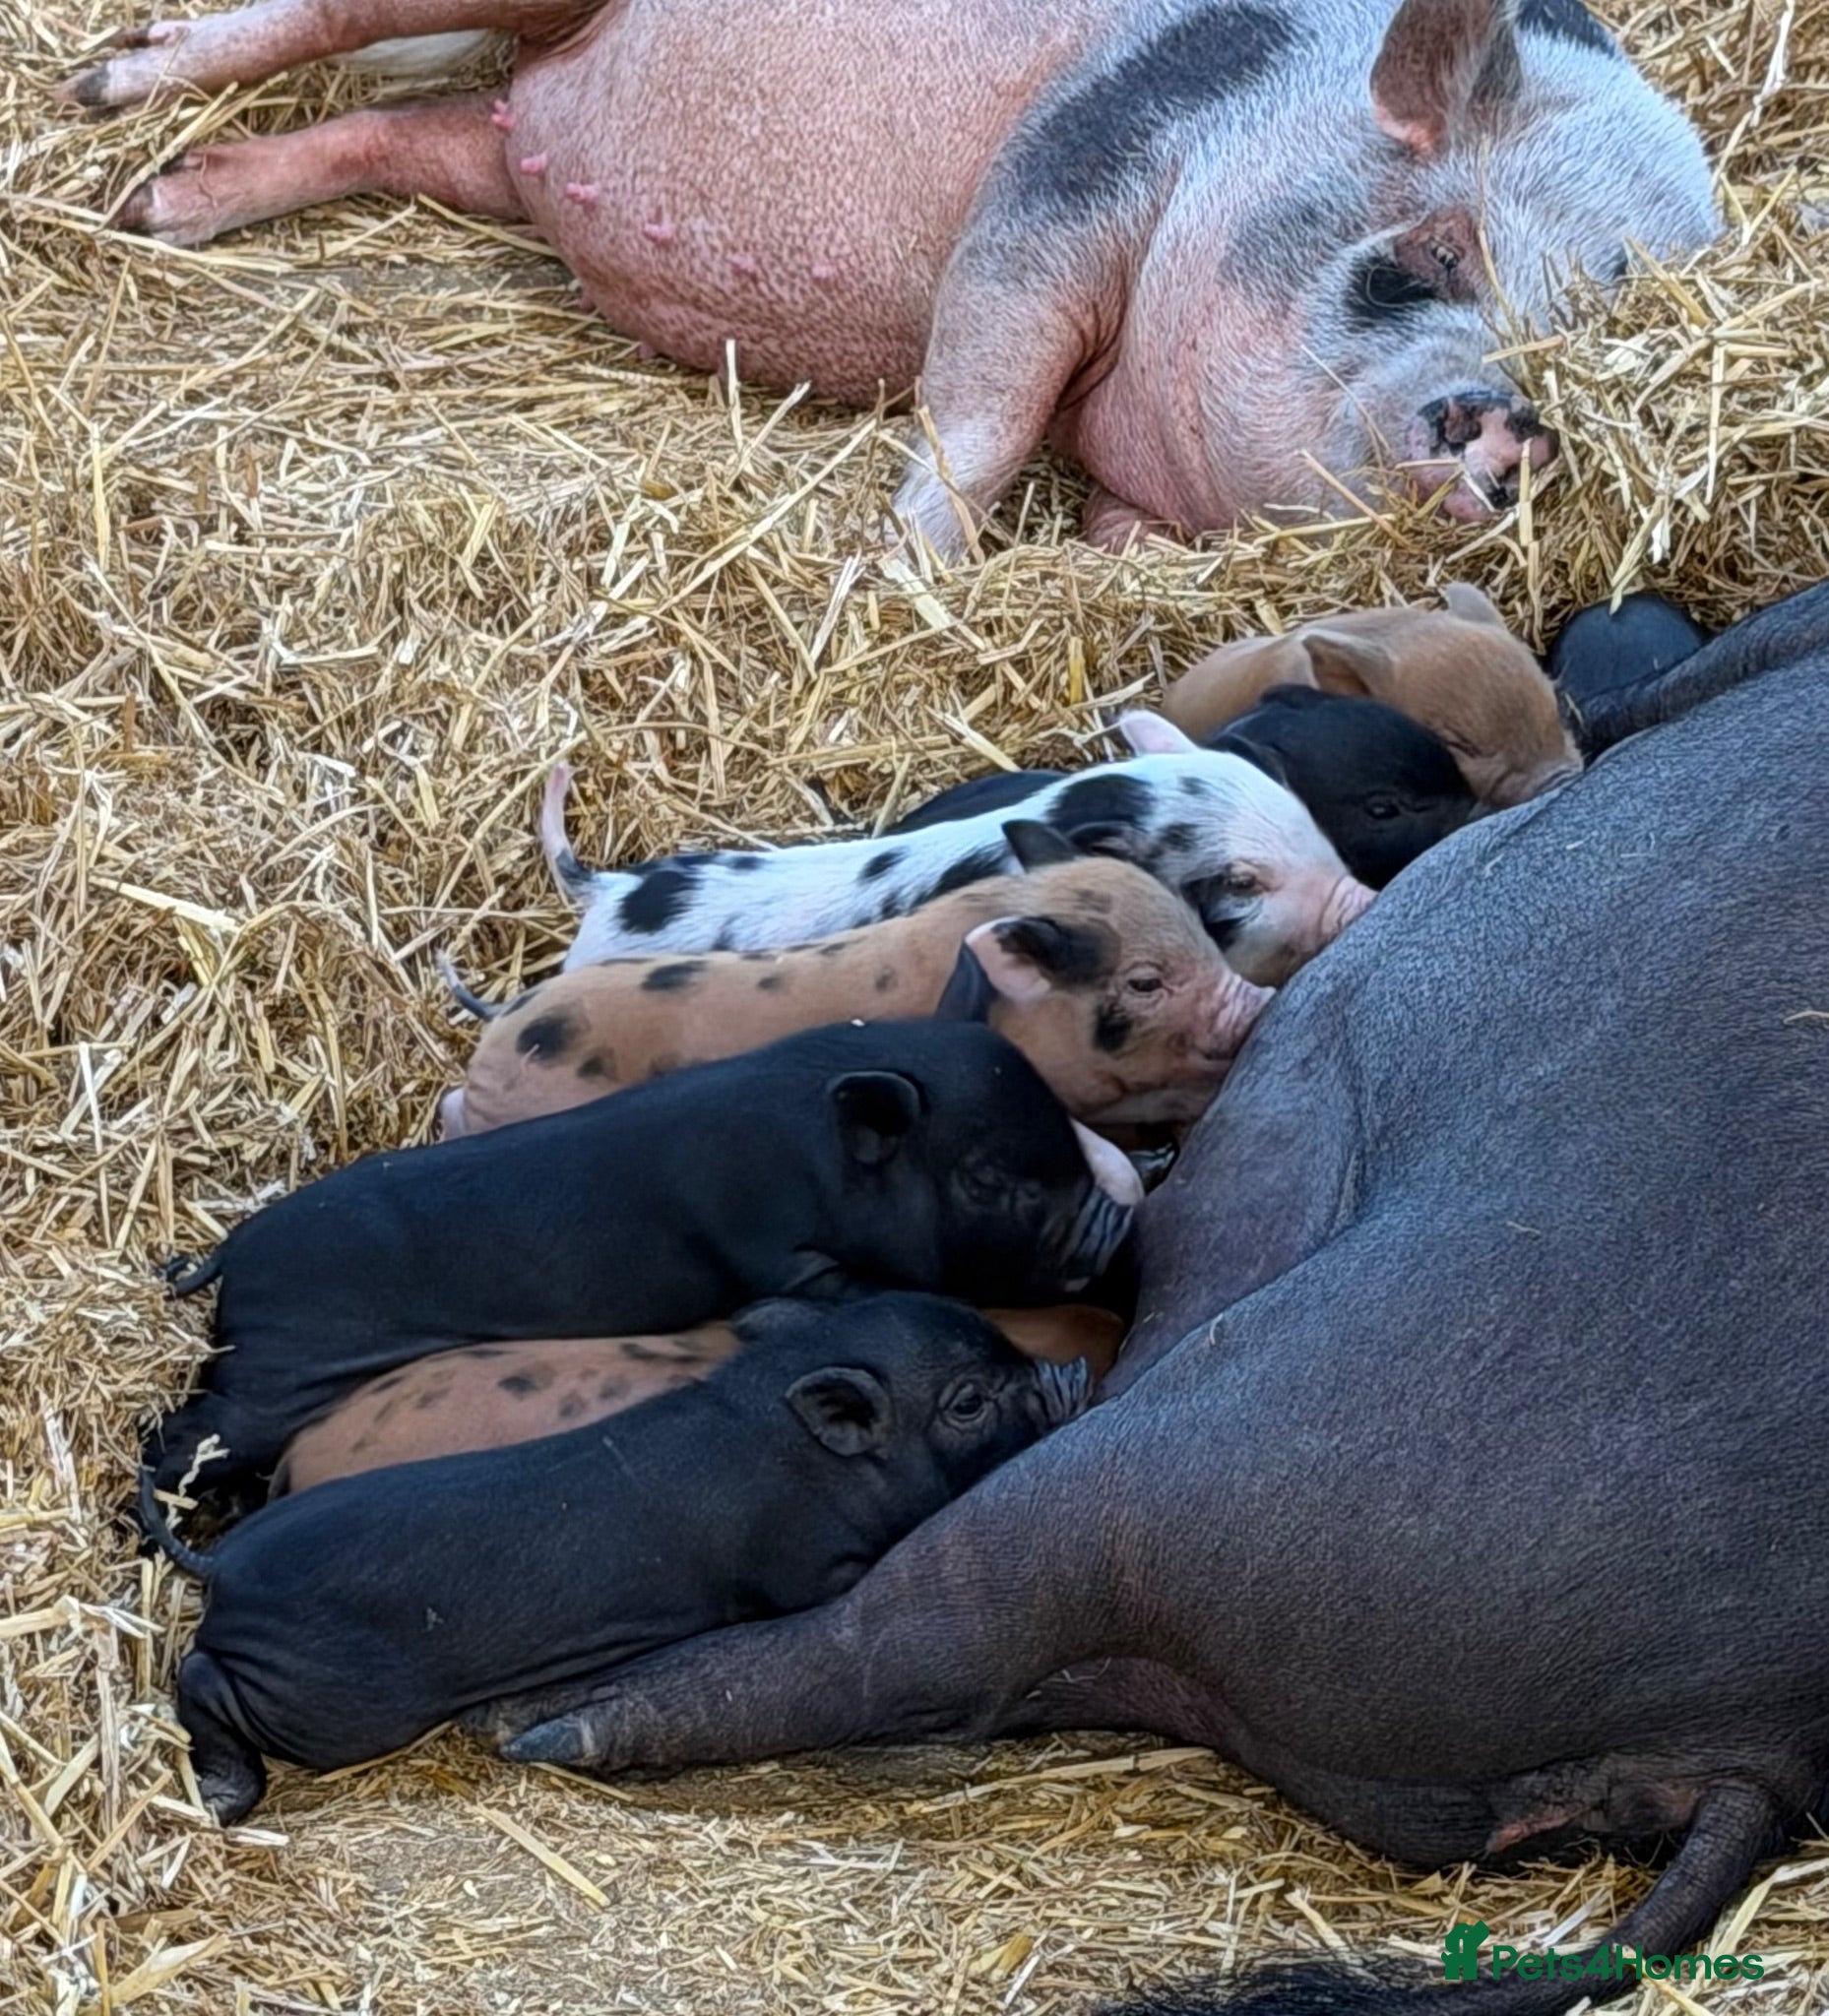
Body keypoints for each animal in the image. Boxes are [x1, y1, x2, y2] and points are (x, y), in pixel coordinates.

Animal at [63, 0, 1718, 553]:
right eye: (1432, 249)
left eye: (1609, 339)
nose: (1511, 421)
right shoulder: (1075, 165)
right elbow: (981, 400)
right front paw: (901, 570)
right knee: (332, 22)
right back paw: (101, 95)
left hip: (519, 148)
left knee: (413, 130)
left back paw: (161, 204)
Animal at [141, 1291, 1091, 1822]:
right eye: (968, 1402)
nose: (1073, 1375)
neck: (788, 1441)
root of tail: (226, 1566)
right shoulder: (804, 1566)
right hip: (330, 1705)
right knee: (203, 1681)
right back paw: (226, 1799)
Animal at [144, 1019, 1139, 1507]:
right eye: (984, 1178)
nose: (1109, 1229)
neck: (809, 1154)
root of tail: (234, 1253)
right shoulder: (776, 1252)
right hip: (277, 1375)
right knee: (179, 1442)